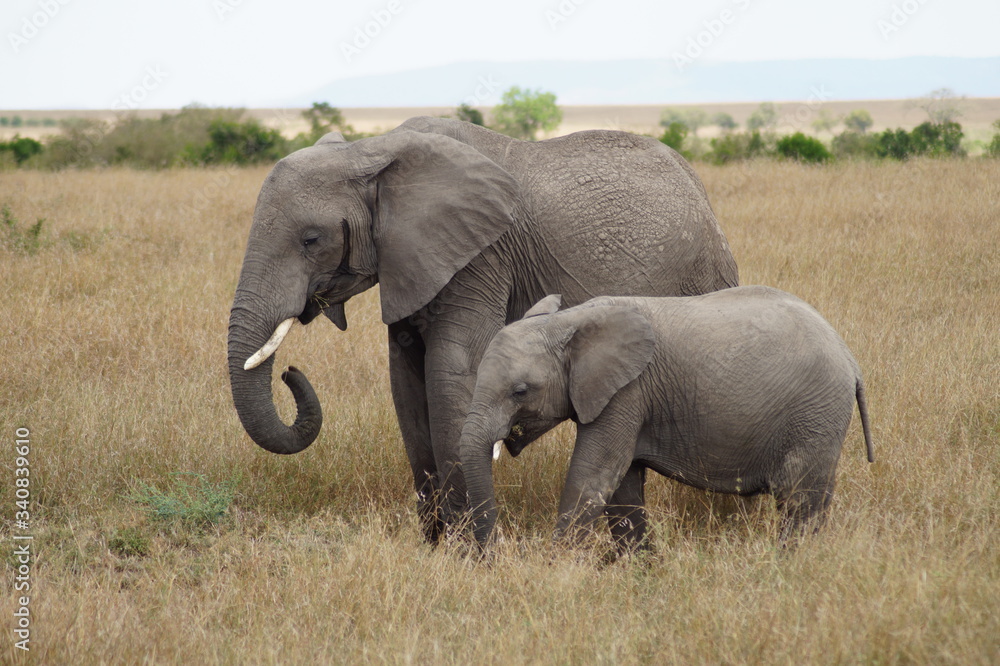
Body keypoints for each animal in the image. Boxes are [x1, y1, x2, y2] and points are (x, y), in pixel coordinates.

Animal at [227, 117, 739, 542]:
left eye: (311, 240)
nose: (290, 372)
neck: (370, 152)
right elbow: (407, 387)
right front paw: (437, 548)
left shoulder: (480, 256)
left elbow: (449, 377)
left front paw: (472, 552)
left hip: (707, 274)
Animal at [459, 288, 874, 551]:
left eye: (520, 391)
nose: (493, 554)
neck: (568, 320)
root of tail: (851, 360)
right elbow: (622, 487)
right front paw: (640, 569)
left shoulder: (627, 392)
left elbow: (593, 476)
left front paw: (553, 569)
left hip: (815, 414)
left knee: (798, 500)